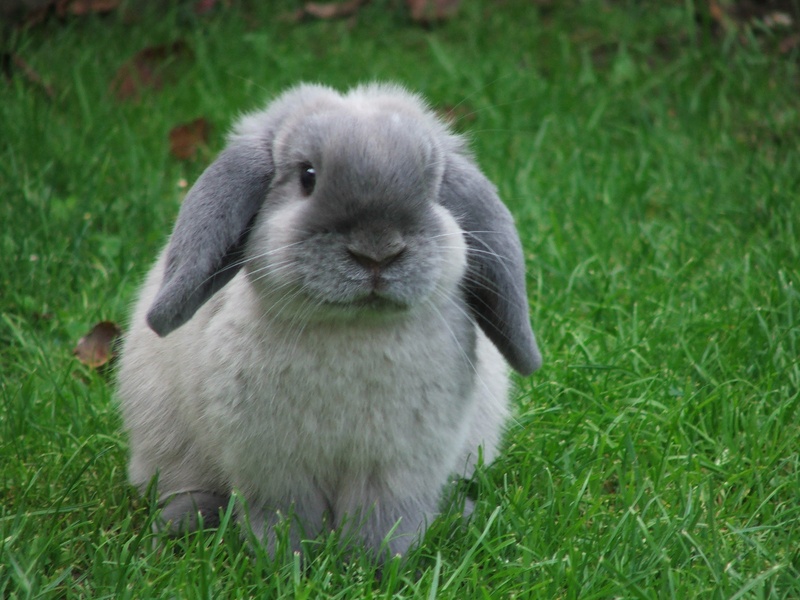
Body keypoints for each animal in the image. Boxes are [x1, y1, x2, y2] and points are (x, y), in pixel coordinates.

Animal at [117, 82, 541, 561]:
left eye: (432, 184)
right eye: (308, 176)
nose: (378, 251)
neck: (352, 327)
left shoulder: (395, 470)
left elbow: (382, 523)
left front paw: (377, 566)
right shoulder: (275, 470)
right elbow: (283, 520)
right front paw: (284, 564)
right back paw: (181, 524)